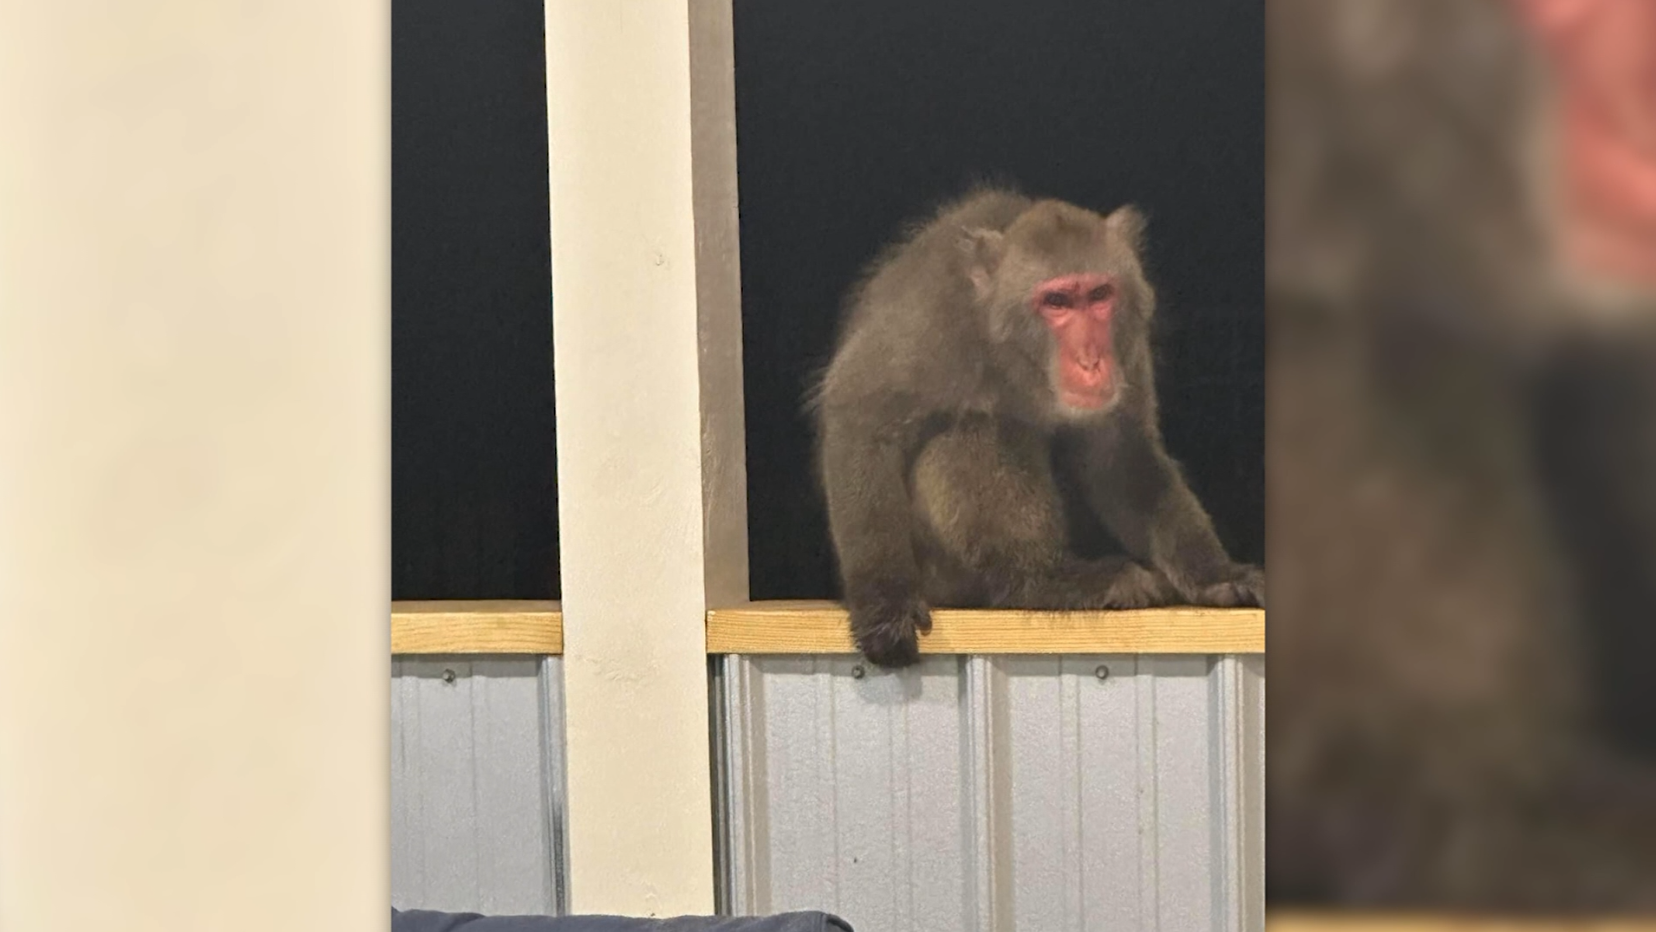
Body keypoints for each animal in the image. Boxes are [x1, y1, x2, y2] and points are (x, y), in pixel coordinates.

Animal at [811, 188, 1264, 669]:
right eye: (1057, 301)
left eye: (1099, 294)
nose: (1091, 360)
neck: (1018, 359)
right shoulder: (927, 321)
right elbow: (860, 418)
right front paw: (884, 603)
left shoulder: (1127, 345)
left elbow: (1122, 454)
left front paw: (1215, 573)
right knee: (977, 430)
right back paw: (1044, 579)